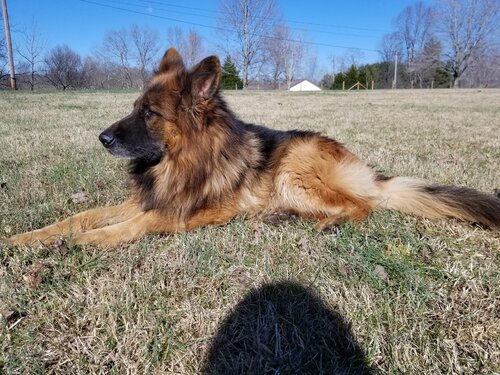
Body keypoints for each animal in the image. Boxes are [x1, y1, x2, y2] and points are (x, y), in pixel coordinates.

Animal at [4, 48, 500, 248]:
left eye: (149, 114)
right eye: (134, 109)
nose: (102, 138)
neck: (184, 160)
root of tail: (372, 174)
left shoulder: (187, 211)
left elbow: (133, 225)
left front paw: (83, 242)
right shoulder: (149, 197)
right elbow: (83, 214)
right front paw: (32, 237)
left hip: (294, 168)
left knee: (363, 205)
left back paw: (328, 222)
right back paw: (282, 216)